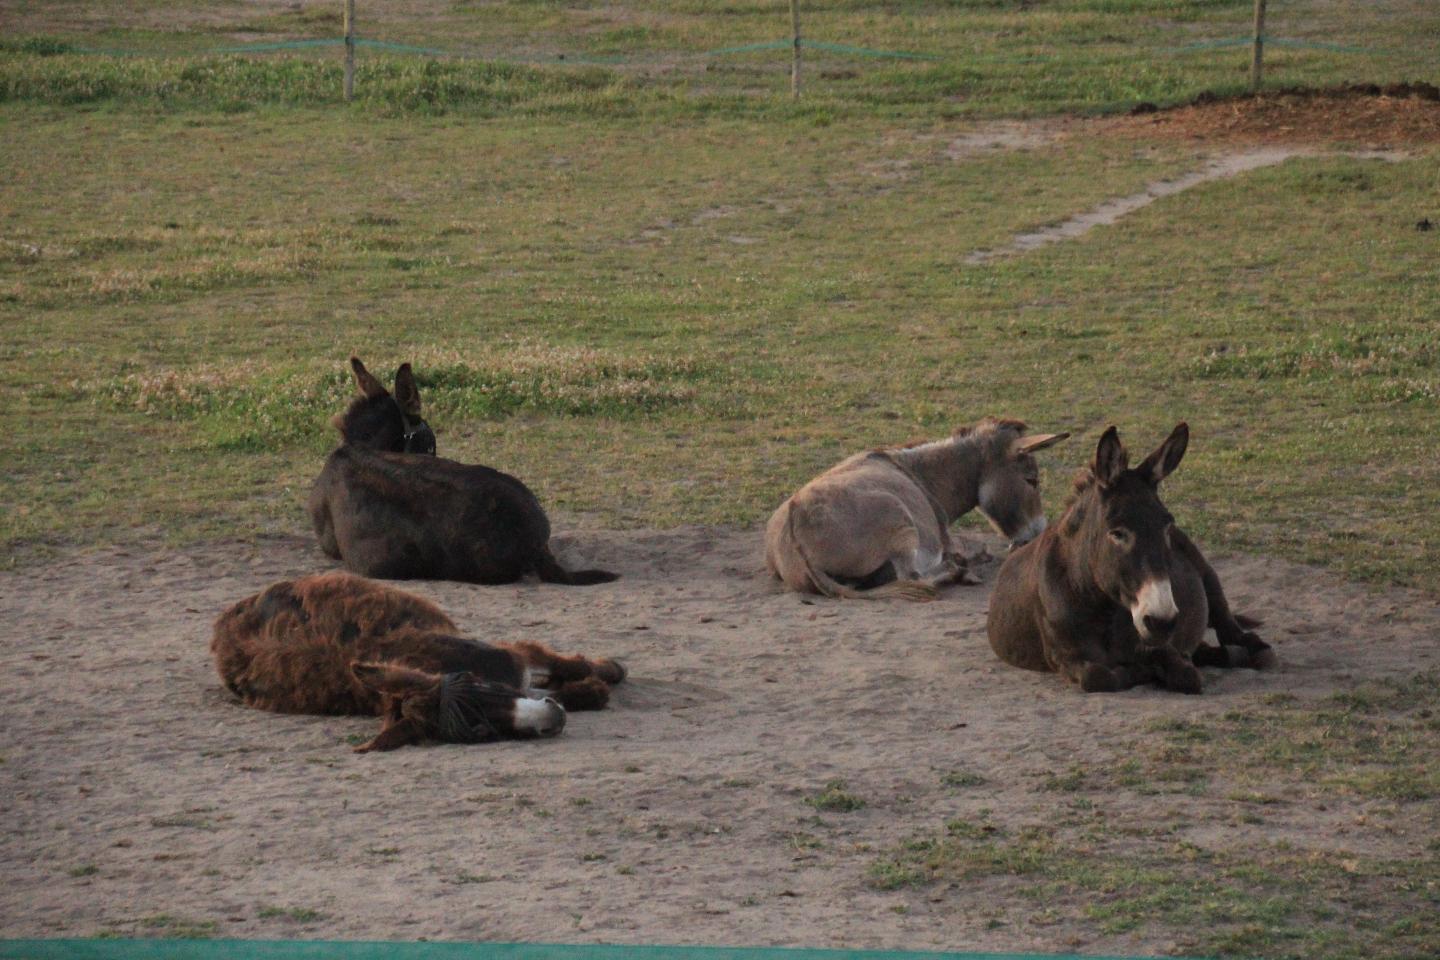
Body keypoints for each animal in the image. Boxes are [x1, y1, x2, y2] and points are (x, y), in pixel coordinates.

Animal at [211, 569, 624, 748]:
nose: (552, 720)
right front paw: (591, 690)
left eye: (479, 684)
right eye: (479, 732)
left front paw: (609, 671)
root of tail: (223, 622)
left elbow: (568, 664)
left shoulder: (514, 660)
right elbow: (570, 687)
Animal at [990, 423, 1272, 693]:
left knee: (1232, 629)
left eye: (1166, 526)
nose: (1162, 622)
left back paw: (1245, 649)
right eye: (1117, 533)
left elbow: (1187, 676)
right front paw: (1135, 672)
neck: (1101, 610)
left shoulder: (1160, 645)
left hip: (1207, 576)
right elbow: (1098, 676)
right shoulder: (1063, 657)